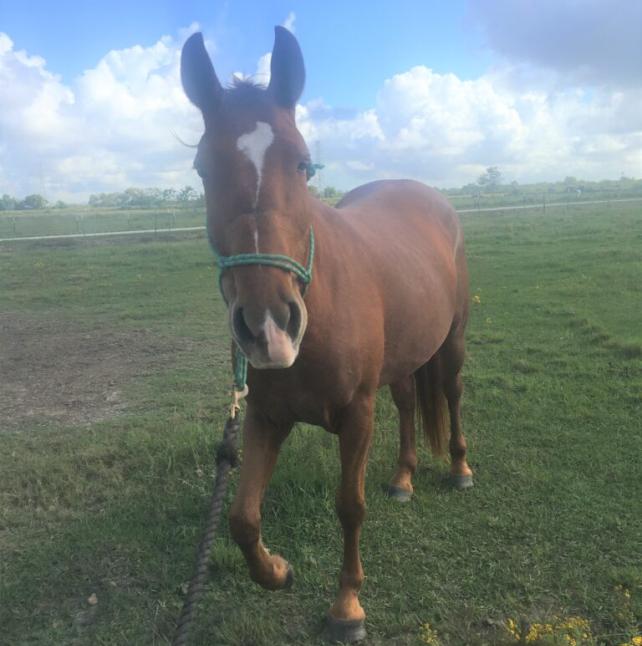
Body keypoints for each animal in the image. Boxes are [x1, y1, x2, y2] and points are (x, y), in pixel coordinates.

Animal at [180, 26, 473, 643]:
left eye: (302, 164)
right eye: (202, 169)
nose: (269, 325)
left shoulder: (356, 415)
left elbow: (349, 506)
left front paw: (347, 607)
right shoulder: (266, 415)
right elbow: (241, 517)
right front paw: (276, 570)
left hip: (453, 341)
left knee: (452, 394)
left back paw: (460, 469)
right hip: (403, 359)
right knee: (408, 403)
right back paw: (404, 478)